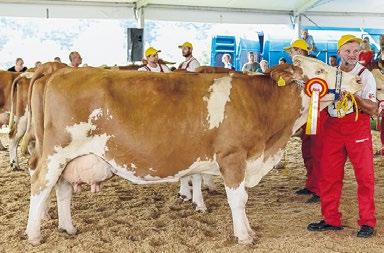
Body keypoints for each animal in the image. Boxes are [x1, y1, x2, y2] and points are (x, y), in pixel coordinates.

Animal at [25, 55, 362, 245]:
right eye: (320, 68)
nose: (358, 80)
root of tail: (60, 71)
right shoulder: (232, 157)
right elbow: (239, 199)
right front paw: (244, 236)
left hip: (70, 158)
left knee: (63, 189)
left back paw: (68, 228)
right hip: (56, 153)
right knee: (40, 186)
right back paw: (34, 235)